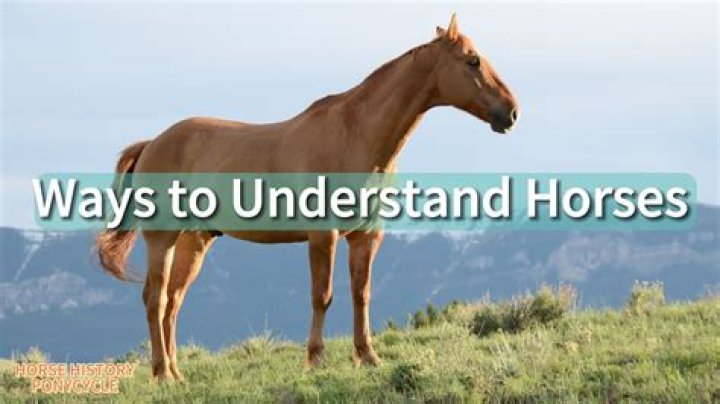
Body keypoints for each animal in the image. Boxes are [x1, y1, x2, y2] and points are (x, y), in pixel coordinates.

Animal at [97, 14, 519, 381]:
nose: (511, 112)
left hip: (194, 241)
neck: (357, 136)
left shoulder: (366, 237)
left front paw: (368, 357)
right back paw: (161, 374)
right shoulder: (323, 236)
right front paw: (315, 361)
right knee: (155, 299)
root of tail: (152, 143)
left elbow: (361, 294)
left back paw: (177, 373)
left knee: (172, 303)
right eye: (472, 60)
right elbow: (323, 296)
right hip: (162, 240)